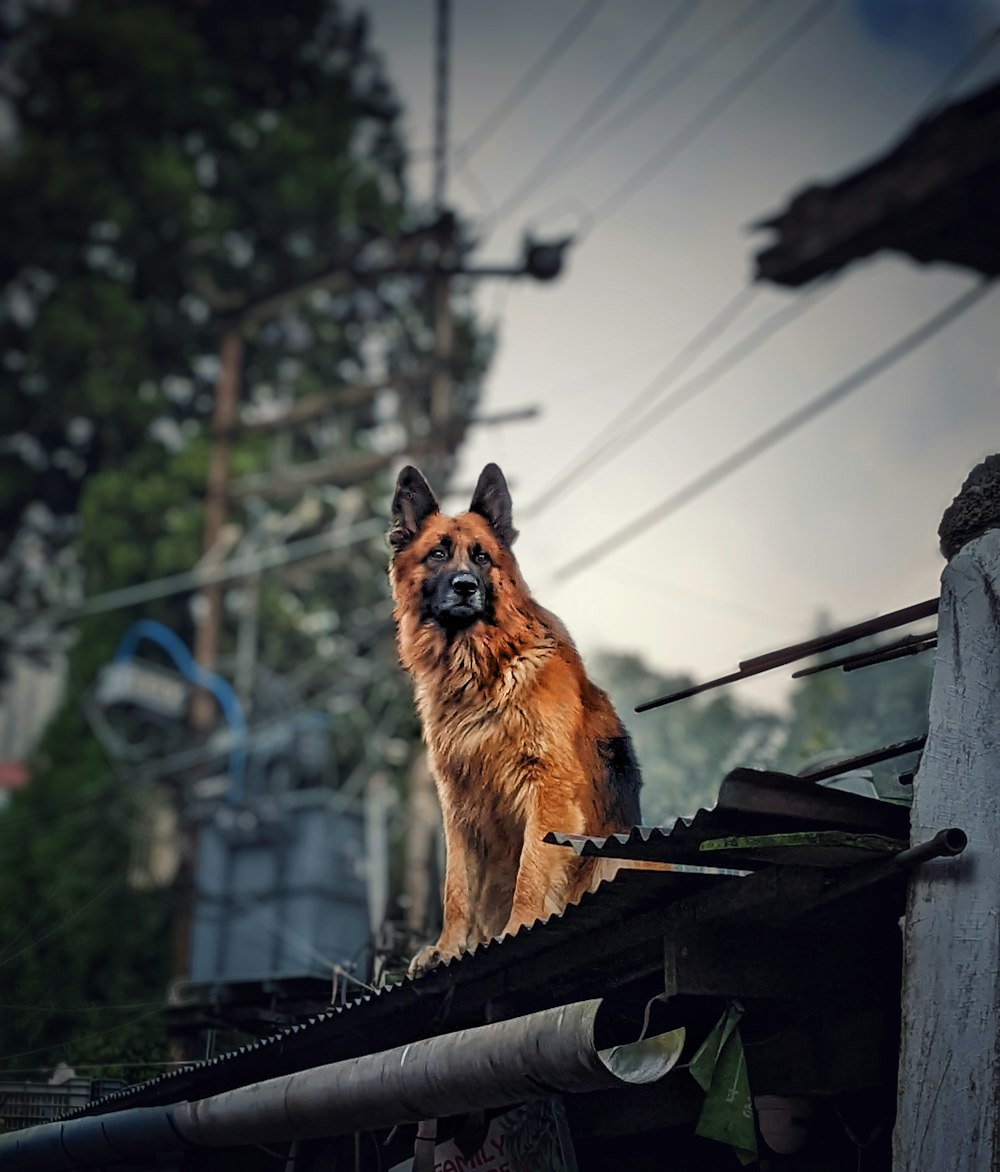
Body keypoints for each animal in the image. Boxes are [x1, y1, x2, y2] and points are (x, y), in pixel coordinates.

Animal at [386, 461, 637, 975]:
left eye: (482, 559)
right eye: (438, 554)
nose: (466, 587)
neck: (480, 670)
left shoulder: (548, 789)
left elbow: (532, 871)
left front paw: (517, 930)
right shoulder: (459, 805)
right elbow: (456, 887)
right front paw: (448, 948)